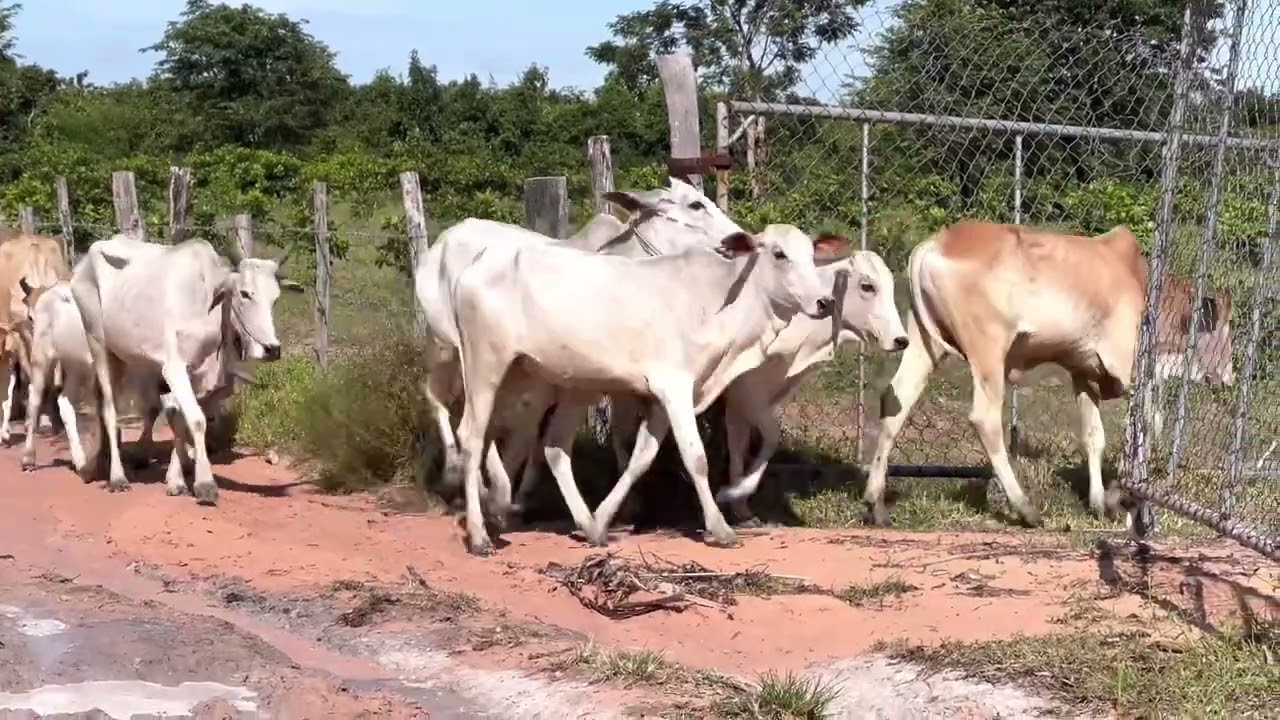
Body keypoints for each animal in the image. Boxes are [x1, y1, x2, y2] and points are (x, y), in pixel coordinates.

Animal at [68, 233, 300, 503]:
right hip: (98, 343)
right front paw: (205, 483)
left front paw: (176, 481)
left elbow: (181, 421)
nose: (272, 349)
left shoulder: (201, 379)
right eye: (244, 293)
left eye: (275, 298)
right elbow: (197, 421)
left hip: (126, 356)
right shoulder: (174, 369)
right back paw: (117, 476)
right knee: (109, 409)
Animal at [419, 179, 744, 518]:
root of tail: (443, 240)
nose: (740, 238)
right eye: (695, 204)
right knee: (439, 399)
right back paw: (455, 472)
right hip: (448, 348)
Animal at [449, 223, 845, 555]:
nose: (825, 302)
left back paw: (562, 519)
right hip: (487, 364)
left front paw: (604, 517)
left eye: (812, 254)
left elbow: (641, 458)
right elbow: (695, 458)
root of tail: (475, 266)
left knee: (546, 445)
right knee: (473, 435)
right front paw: (720, 526)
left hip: (542, 378)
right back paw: (481, 534)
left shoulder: (660, 399)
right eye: (779, 254)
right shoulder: (675, 388)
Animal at [864, 221, 1234, 529]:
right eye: (1226, 331)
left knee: (896, 400)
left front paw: (1100, 502)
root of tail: (935, 243)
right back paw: (1026, 509)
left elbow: (1094, 437)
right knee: (985, 419)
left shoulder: (1083, 373)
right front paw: (1130, 502)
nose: (1228, 375)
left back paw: (874, 503)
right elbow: (1147, 428)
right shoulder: (1128, 371)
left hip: (923, 343)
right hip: (988, 350)